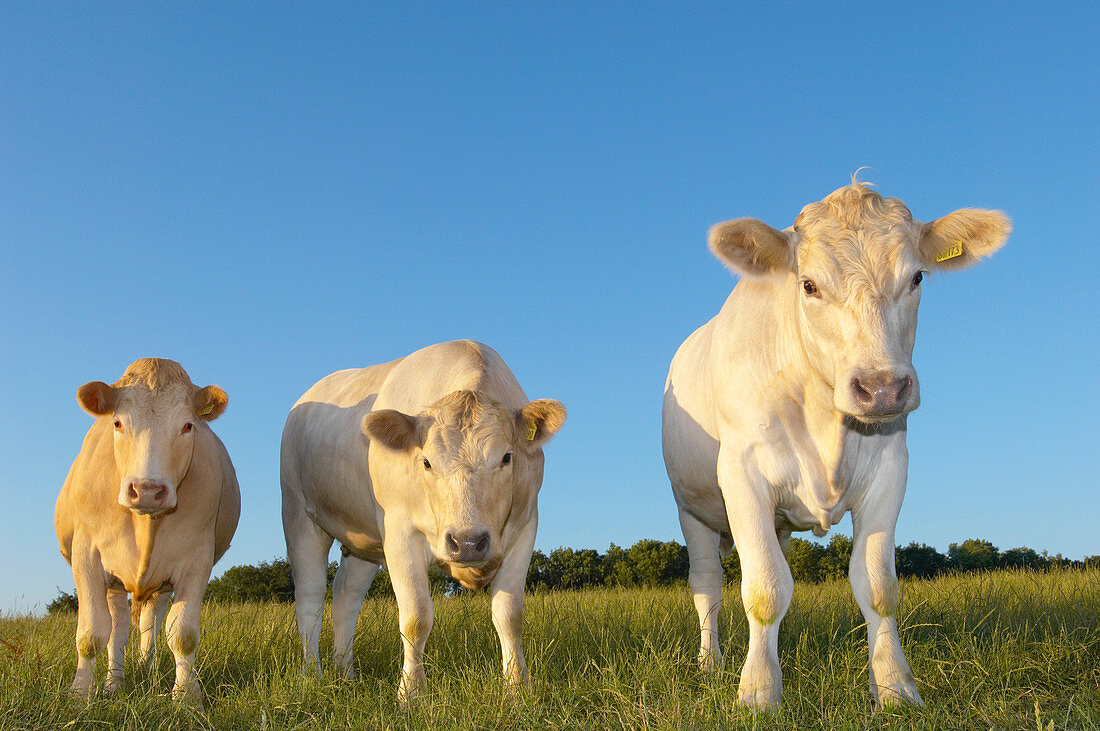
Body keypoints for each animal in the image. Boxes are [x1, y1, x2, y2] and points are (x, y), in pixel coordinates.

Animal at [281, 340, 567, 703]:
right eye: (427, 462)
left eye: (506, 457)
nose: (468, 543)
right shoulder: (400, 532)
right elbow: (416, 618)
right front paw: (411, 695)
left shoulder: (525, 526)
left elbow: (509, 614)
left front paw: (517, 688)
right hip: (298, 515)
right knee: (310, 597)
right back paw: (312, 675)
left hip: (362, 542)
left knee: (346, 596)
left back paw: (345, 674)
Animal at [660, 183, 1012, 707]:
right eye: (808, 285)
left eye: (917, 277)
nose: (882, 388)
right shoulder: (741, 474)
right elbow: (763, 587)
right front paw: (758, 690)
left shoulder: (891, 468)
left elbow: (877, 586)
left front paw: (895, 686)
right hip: (694, 508)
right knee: (708, 585)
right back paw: (710, 663)